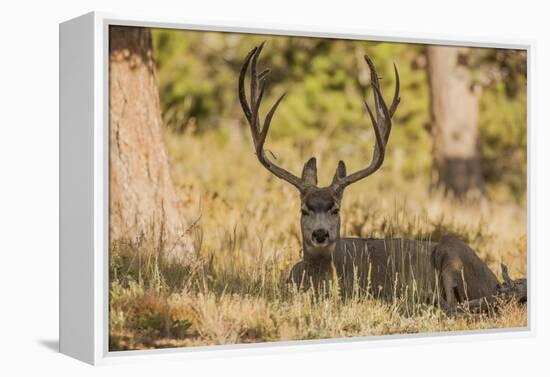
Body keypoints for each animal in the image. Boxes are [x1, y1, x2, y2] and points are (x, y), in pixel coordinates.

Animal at [238, 42, 532, 312]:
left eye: (336, 209)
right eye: (303, 210)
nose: (320, 234)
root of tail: (493, 279)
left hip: (452, 253)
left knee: (458, 304)